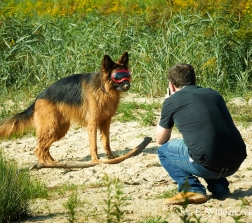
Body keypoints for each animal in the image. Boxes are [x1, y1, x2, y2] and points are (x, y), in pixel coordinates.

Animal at [0, 52, 131, 164]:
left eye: (127, 75)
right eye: (117, 76)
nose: (128, 85)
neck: (103, 88)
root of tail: (37, 98)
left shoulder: (106, 122)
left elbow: (106, 142)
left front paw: (111, 157)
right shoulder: (92, 124)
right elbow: (93, 145)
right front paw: (96, 160)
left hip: (58, 130)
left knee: (44, 148)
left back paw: (52, 162)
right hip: (51, 128)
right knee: (39, 149)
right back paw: (45, 164)